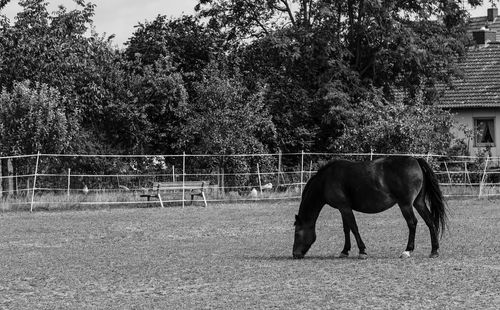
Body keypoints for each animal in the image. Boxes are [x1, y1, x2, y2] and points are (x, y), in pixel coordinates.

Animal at [292, 156, 448, 260]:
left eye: (297, 233)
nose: (295, 254)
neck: (326, 180)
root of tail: (416, 160)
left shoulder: (344, 207)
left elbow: (354, 228)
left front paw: (362, 251)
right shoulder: (343, 208)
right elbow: (346, 229)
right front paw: (344, 251)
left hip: (405, 204)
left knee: (412, 223)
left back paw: (407, 251)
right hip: (418, 202)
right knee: (430, 221)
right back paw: (434, 251)